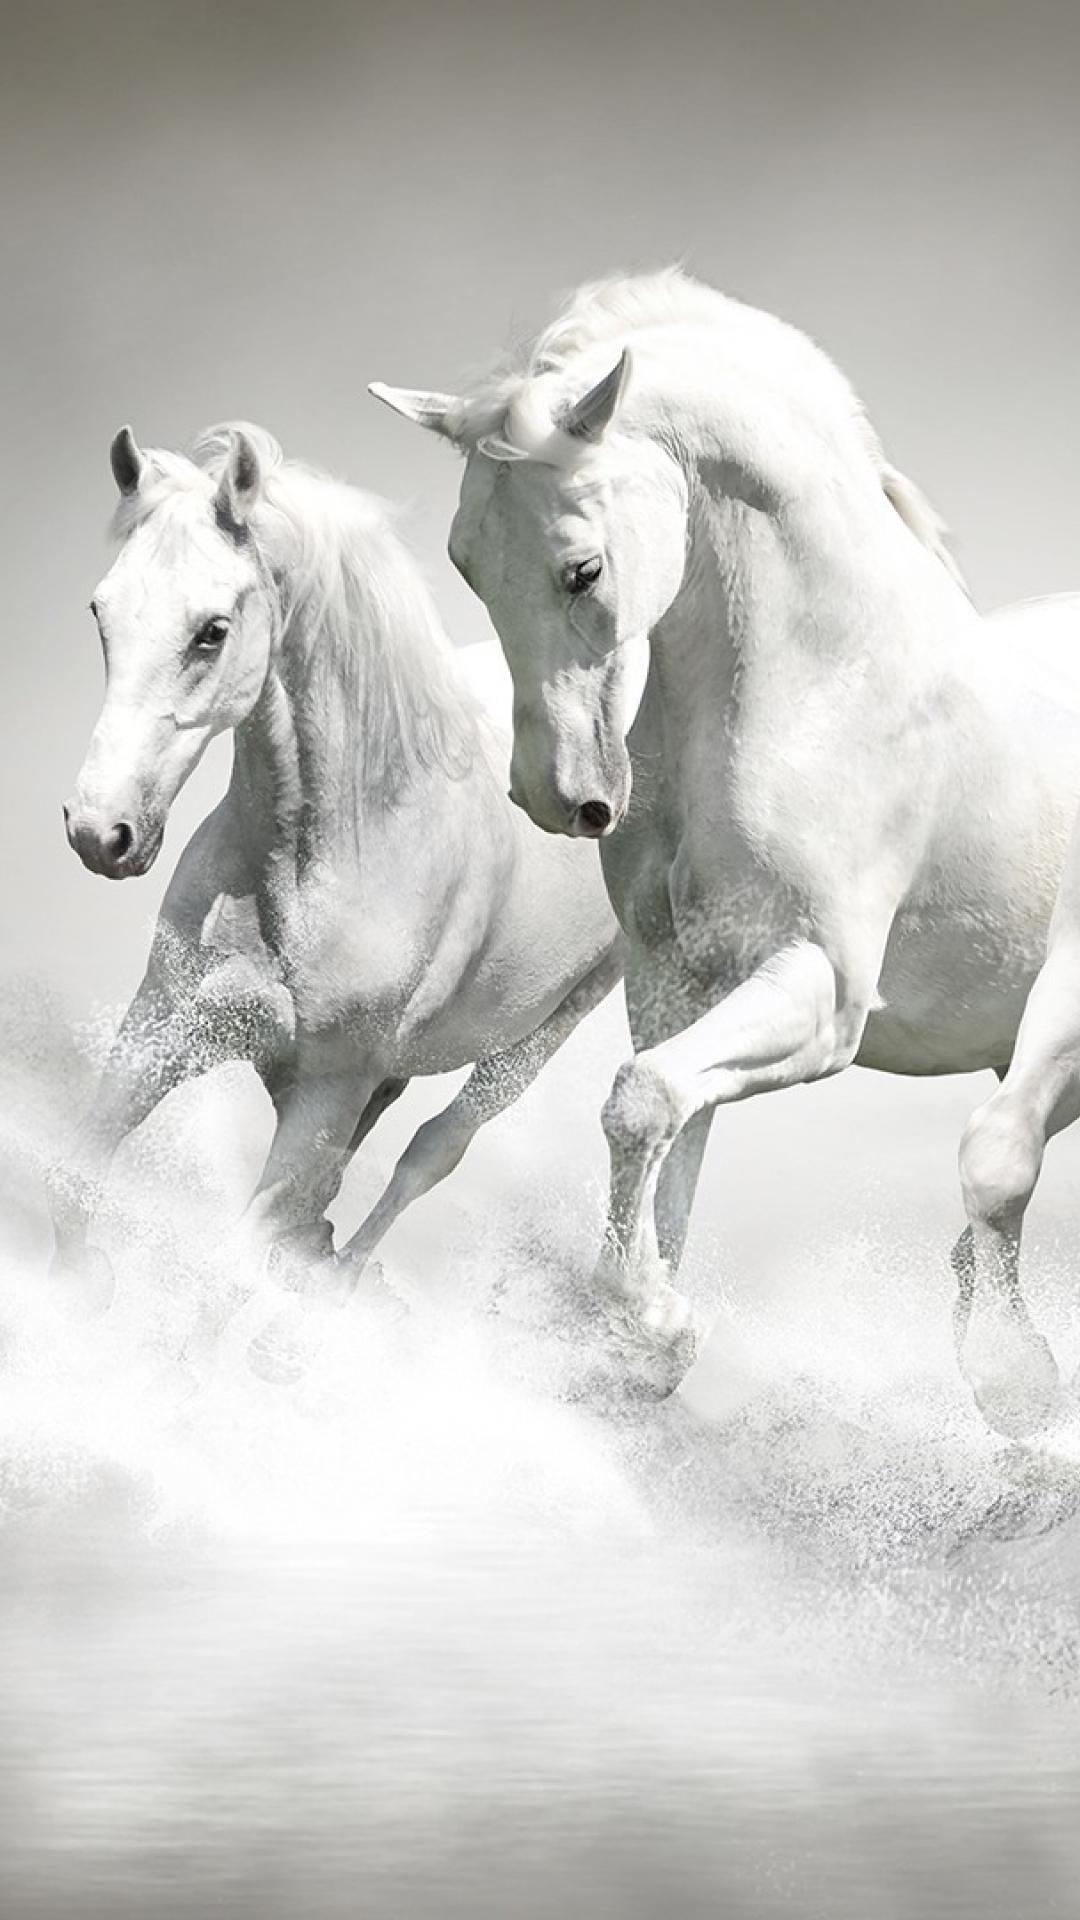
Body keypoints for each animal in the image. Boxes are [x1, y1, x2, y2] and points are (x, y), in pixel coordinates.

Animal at [52, 421, 623, 1337]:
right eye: (102, 612)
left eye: (211, 631)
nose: (100, 833)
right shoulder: (163, 1025)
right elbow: (74, 1186)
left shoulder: (326, 1094)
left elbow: (225, 1275)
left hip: (544, 1034)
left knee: (432, 1151)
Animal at [372, 267, 1080, 1437]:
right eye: (465, 565)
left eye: (582, 569)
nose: (557, 797)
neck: (825, 685)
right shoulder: (679, 979)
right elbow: (660, 1130)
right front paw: (642, 1340)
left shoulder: (825, 989)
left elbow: (648, 1104)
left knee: (1002, 1149)